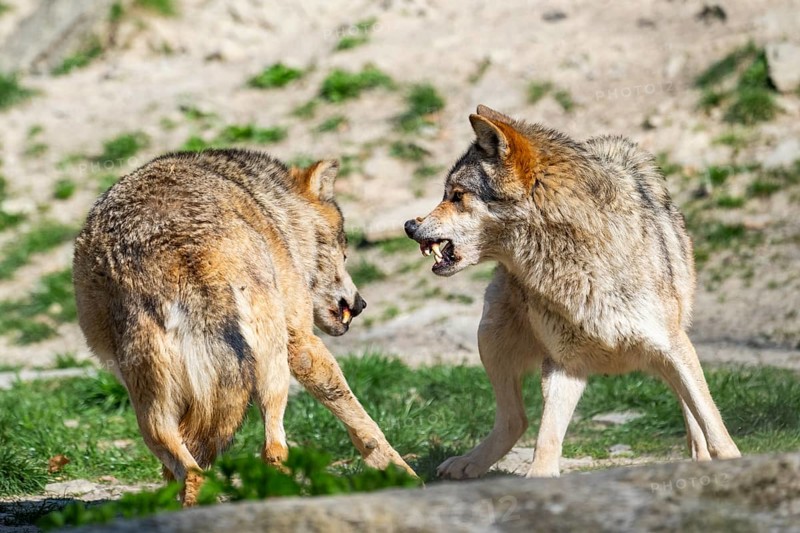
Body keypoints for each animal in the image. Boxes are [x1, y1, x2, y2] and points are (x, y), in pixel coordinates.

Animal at [74, 149, 414, 504]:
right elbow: (361, 421)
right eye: (345, 254)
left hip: (151, 408)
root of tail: (184, 254)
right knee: (274, 450)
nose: (361, 304)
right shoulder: (302, 343)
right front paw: (401, 473)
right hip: (274, 367)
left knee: (190, 469)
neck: (275, 210)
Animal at [404, 105, 740, 479]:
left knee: (690, 412)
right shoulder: (565, 365)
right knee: (516, 421)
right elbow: (546, 441)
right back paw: (468, 463)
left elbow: (713, 425)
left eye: (457, 196)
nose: (409, 226)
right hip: (489, 334)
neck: (577, 263)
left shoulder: (672, 346)